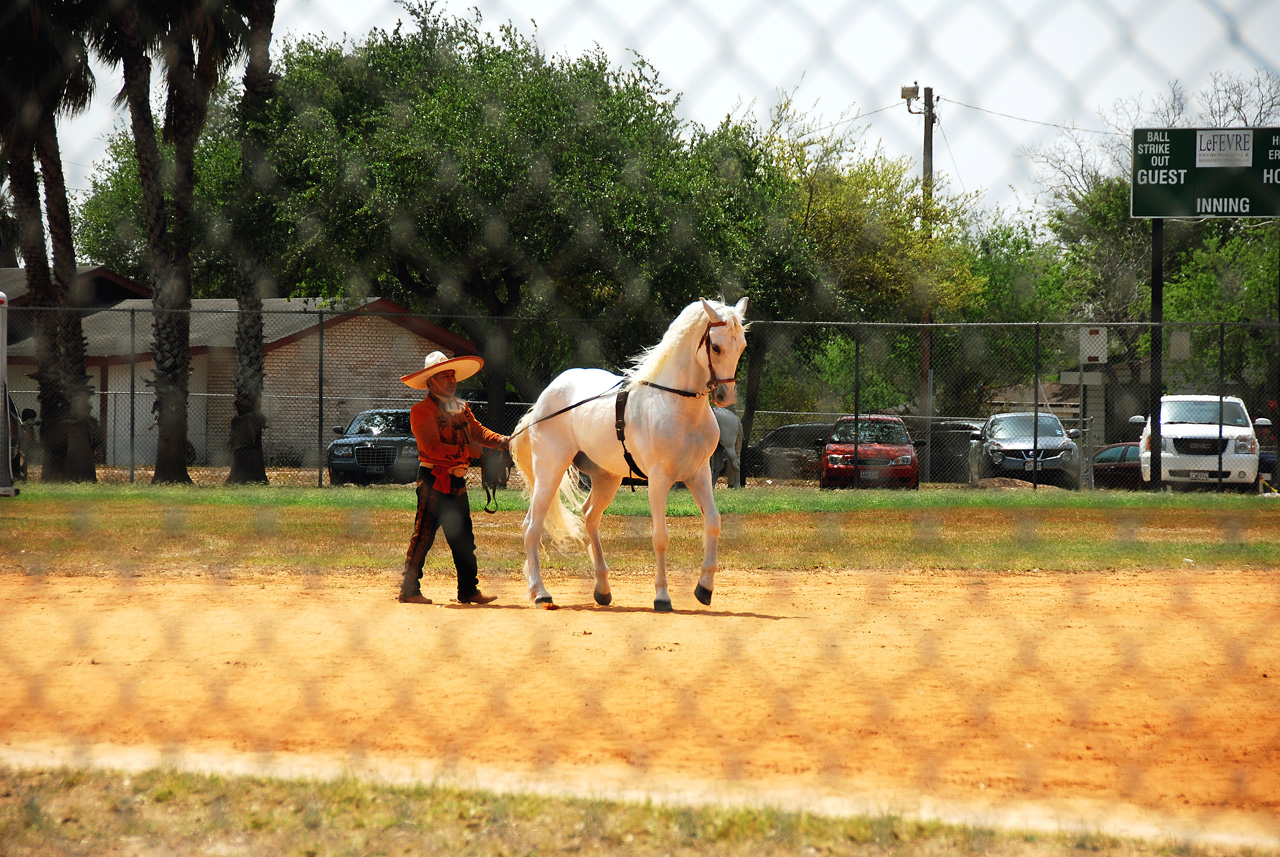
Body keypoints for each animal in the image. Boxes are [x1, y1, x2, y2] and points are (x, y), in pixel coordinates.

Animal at [510, 297, 749, 611]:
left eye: (742, 346)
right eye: (717, 347)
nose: (725, 396)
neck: (677, 404)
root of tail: (543, 401)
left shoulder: (698, 475)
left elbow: (713, 522)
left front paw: (705, 587)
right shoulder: (659, 480)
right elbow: (660, 537)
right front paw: (662, 596)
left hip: (607, 478)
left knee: (589, 517)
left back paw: (602, 589)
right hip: (550, 471)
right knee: (532, 527)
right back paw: (540, 592)